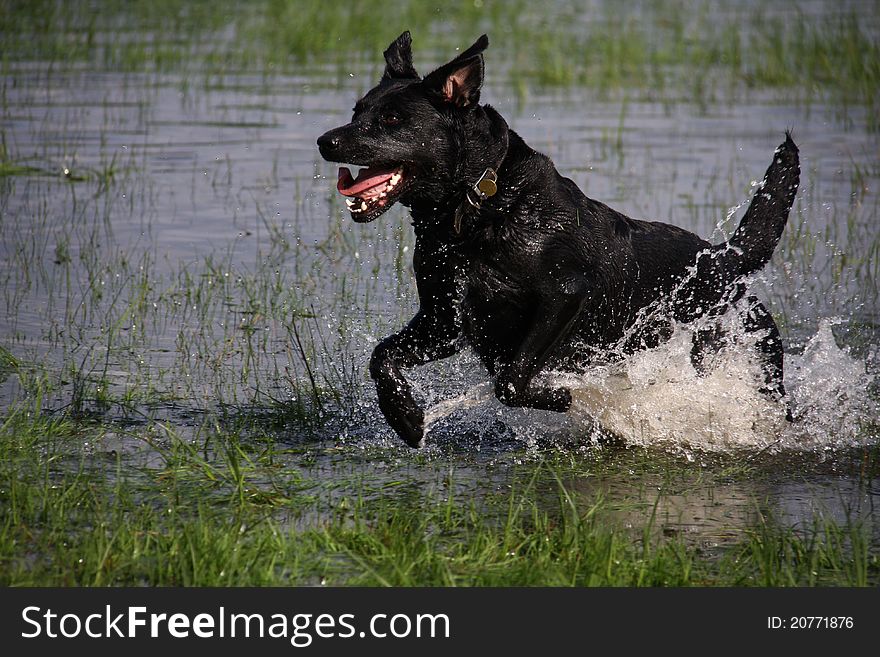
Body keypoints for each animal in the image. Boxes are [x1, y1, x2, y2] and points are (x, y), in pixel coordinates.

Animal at [316, 33, 796, 448]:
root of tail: (725, 259)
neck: (476, 213)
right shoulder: (443, 321)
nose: (325, 140)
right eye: (356, 111)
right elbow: (382, 356)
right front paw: (404, 416)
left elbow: (510, 381)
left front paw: (561, 396)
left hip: (746, 353)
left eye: (392, 119)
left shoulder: (564, 295)